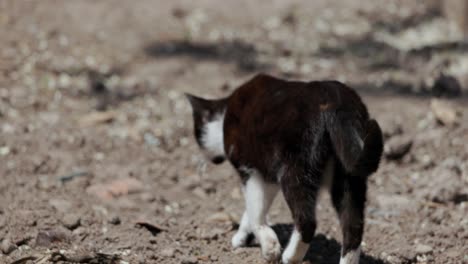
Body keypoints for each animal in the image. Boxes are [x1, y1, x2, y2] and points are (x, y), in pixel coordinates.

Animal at [185, 72, 382, 264]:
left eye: (197, 132)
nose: (209, 158)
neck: (225, 114)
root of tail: (336, 100)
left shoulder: (250, 170)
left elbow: (255, 209)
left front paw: (269, 246)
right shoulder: (268, 176)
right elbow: (255, 207)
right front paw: (243, 237)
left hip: (296, 169)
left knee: (307, 221)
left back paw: (290, 256)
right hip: (348, 176)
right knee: (353, 226)